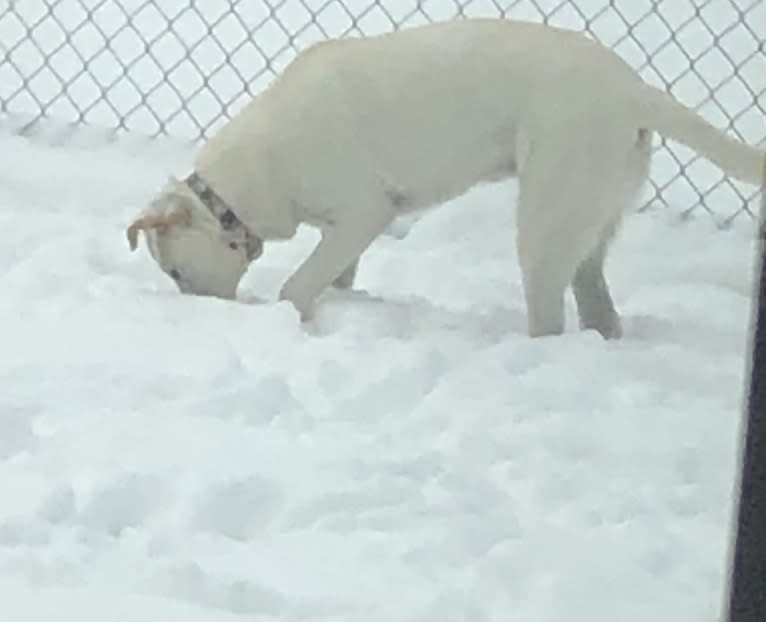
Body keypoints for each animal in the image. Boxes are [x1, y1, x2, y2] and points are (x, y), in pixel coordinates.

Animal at [124, 18, 760, 342]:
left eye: (176, 273)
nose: (203, 318)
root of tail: (633, 88)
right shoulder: (345, 235)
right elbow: (338, 277)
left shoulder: (363, 213)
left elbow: (297, 286)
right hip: (586, 222)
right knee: (599, 310)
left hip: (544, 222)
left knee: (550, 316)